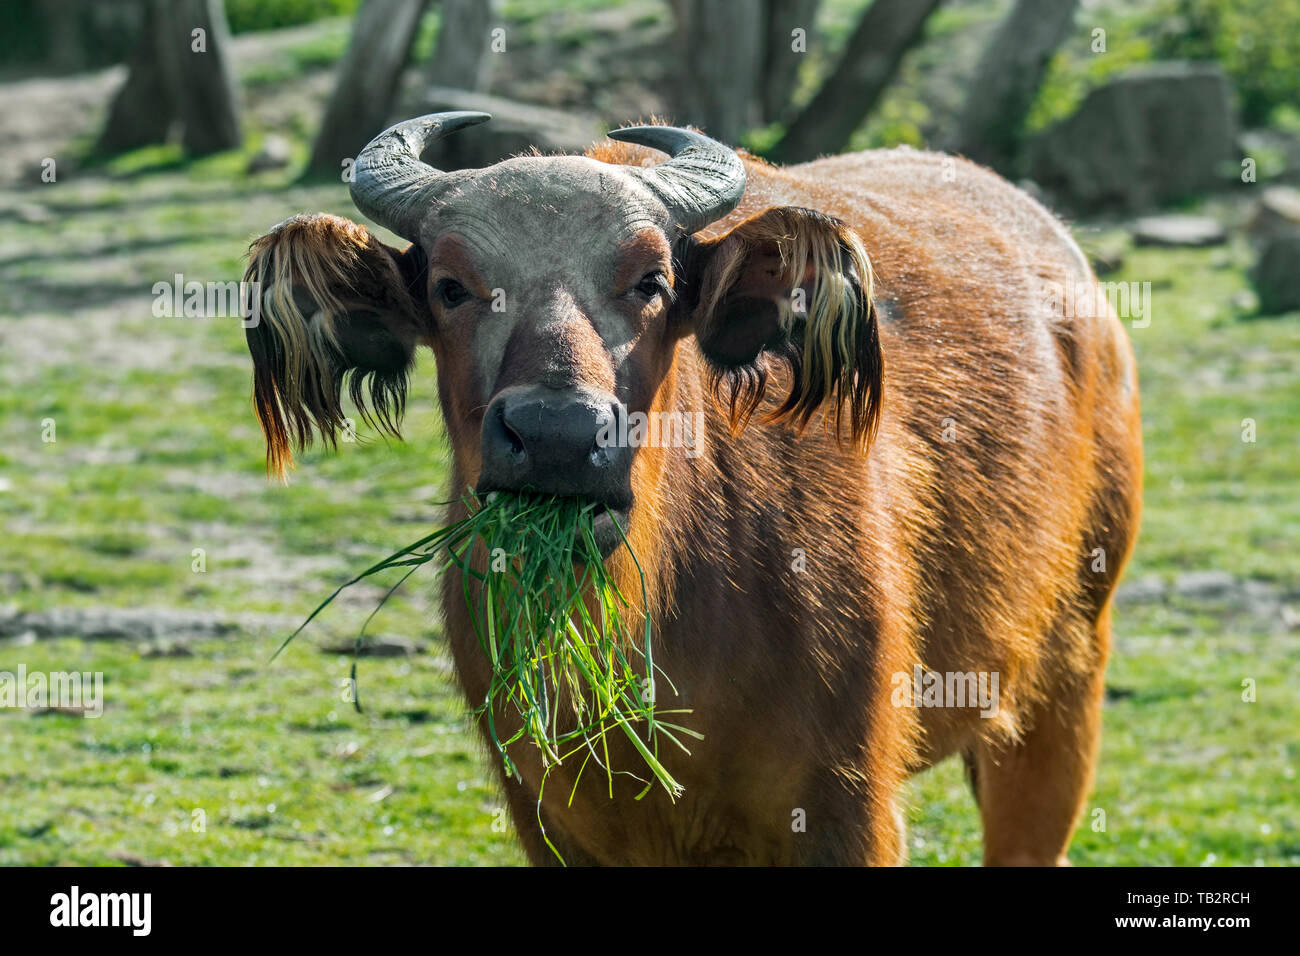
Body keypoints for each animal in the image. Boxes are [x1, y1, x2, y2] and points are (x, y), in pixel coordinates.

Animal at [241, 111, 1138, 868]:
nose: (559, 436)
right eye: (451, 287)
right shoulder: (548, 819)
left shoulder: (849, 807)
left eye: (652, 280)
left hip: (1063, 682)